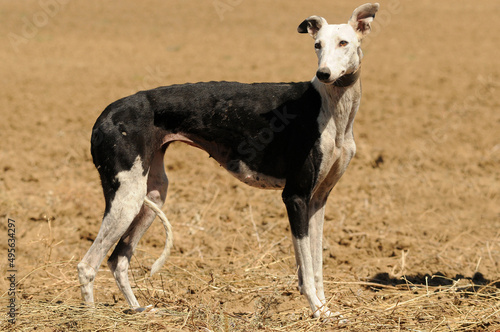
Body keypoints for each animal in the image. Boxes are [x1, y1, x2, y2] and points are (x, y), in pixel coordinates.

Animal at [78, 3, 378, 320]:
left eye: (344, 43)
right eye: (317, 45)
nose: (323, 74)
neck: (329, 106)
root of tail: (106, 113)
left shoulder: (318, 200)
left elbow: (317, 264)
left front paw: (326, 311)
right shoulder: (295, 197)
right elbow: (305, 271)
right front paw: (315, 309)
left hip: (152, 194)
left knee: (118, 259)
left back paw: (139, 310)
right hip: (127, 198)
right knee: (88, 265)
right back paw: (91, 316)